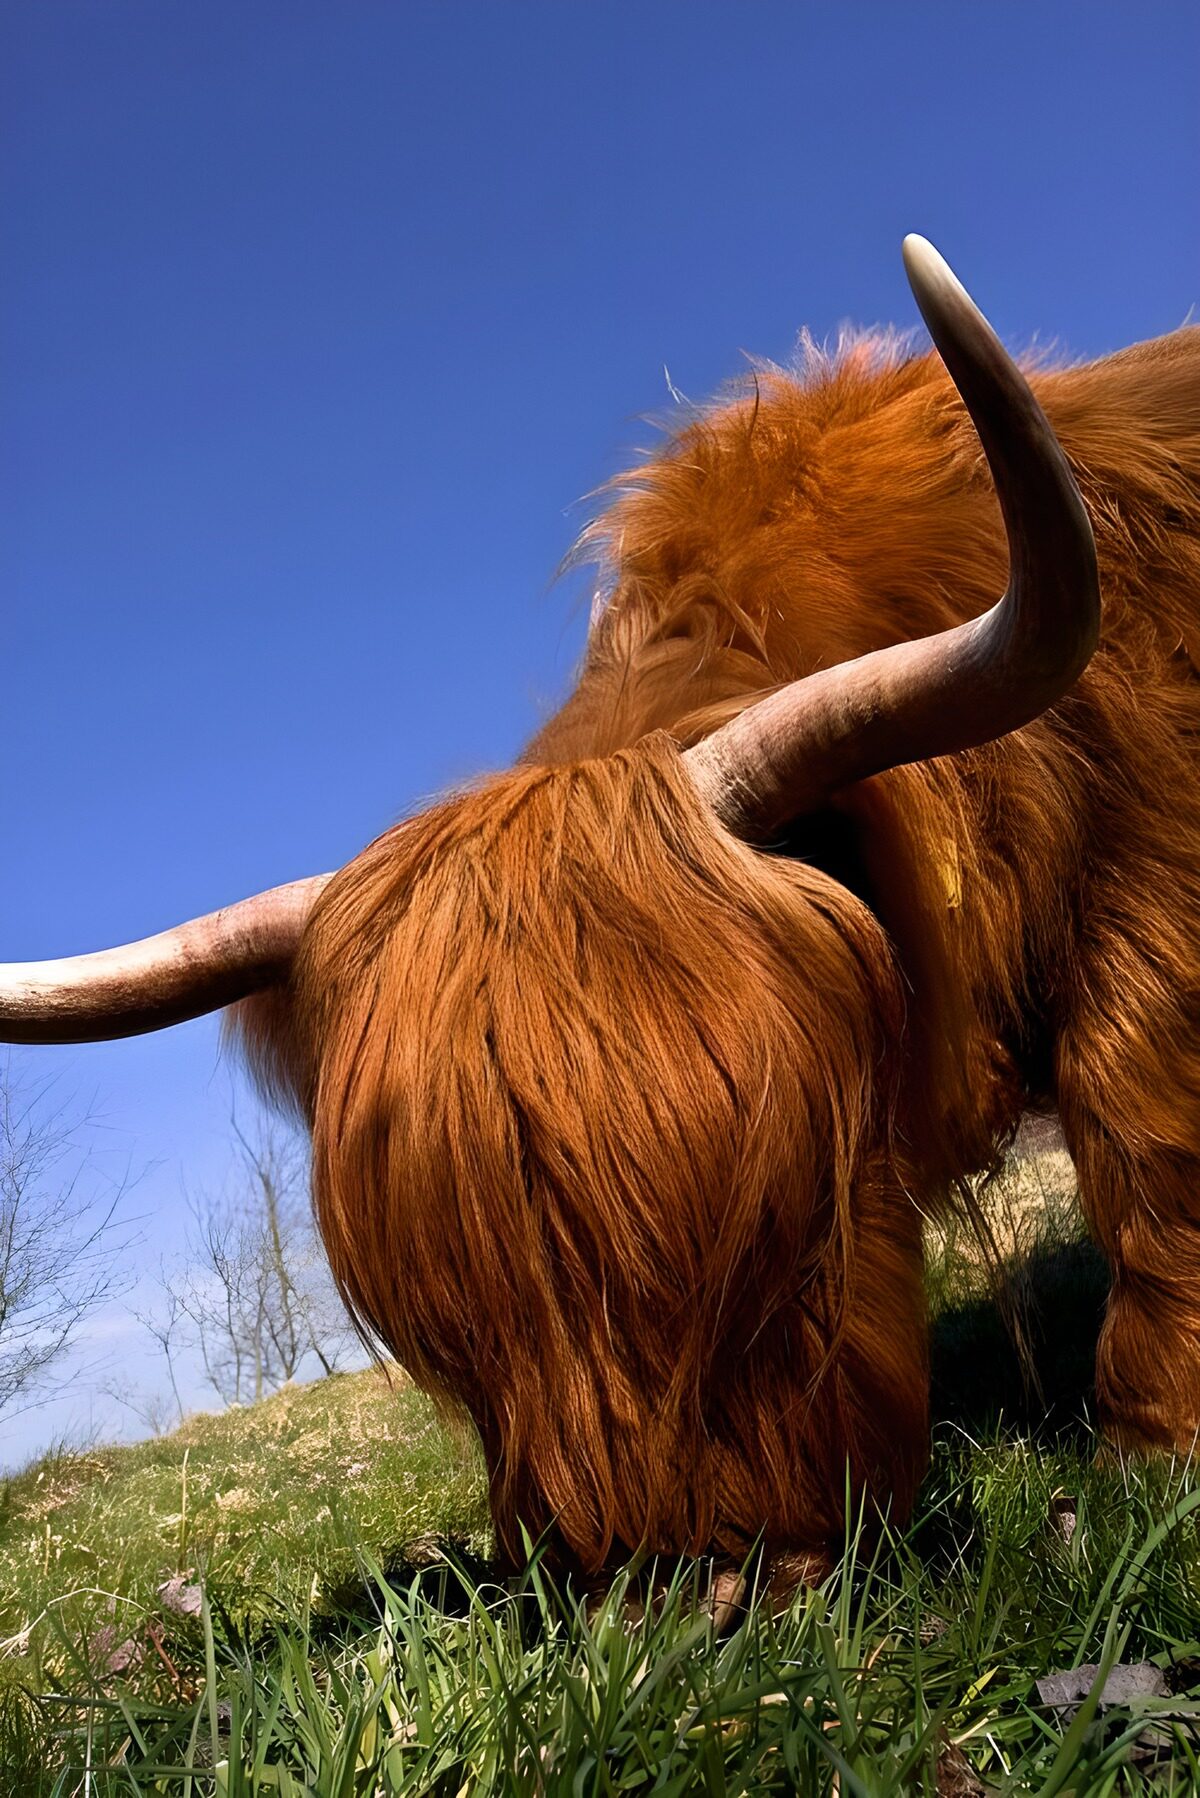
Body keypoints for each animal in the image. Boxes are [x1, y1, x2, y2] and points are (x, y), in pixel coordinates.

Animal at [4, 239, 1198, 1592]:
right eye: (454, 1337)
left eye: (803, 1216)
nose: (679, 1583)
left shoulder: (1152, 890)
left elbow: (1143, 1124)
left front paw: (1152, 1452)